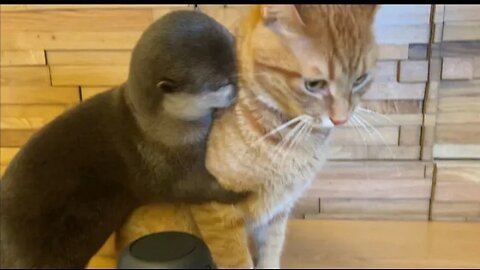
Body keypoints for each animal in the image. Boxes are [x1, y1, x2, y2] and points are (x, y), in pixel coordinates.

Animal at [0, 10, 248, 268]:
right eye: (222, 83)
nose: (243, 85)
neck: (157, 129)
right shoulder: (164, 166)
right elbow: (192, 189)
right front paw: (238, 193)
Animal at [115, 5, 378, 268]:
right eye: (313, 84)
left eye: (360, 80)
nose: (341, 119)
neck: (286, 135)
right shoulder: (217, 209)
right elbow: (237, 259)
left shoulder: (277, 212)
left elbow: (271, 250)